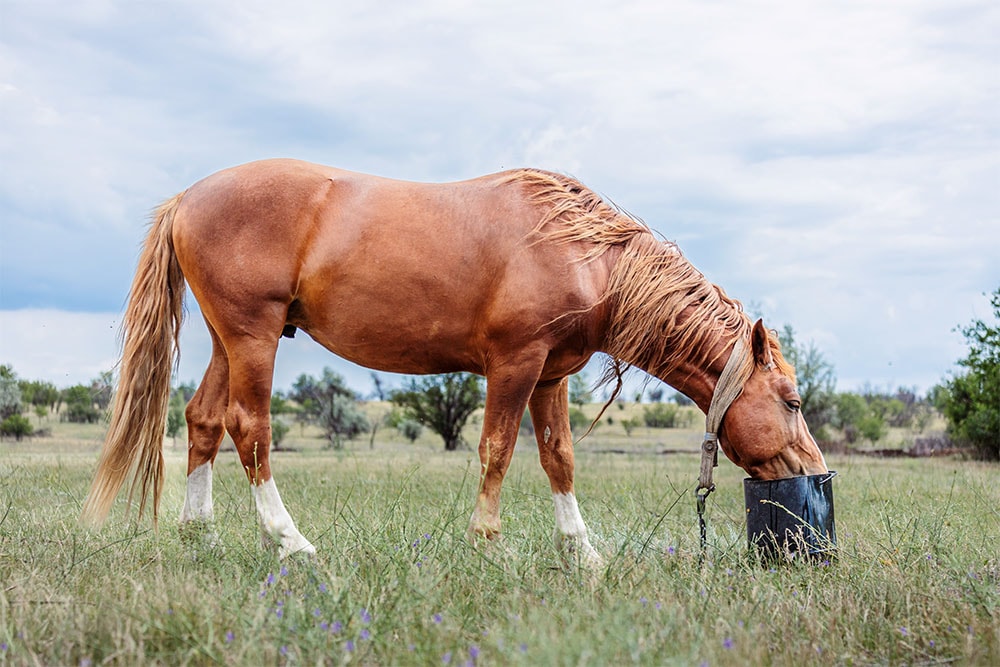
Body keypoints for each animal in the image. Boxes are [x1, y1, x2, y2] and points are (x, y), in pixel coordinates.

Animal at [81, 158, 828, 563]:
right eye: (792, 401)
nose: (812, 473)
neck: (582, 252)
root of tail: (187, 198)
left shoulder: (551, 374)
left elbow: (559, 458)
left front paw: (581, 552)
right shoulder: (515, 364)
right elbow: (497, 449)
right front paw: (486, 541)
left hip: (225, 339)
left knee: (203, 419)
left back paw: (200, 535)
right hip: (252, 337)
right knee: (249, 428)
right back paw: (290, 541)